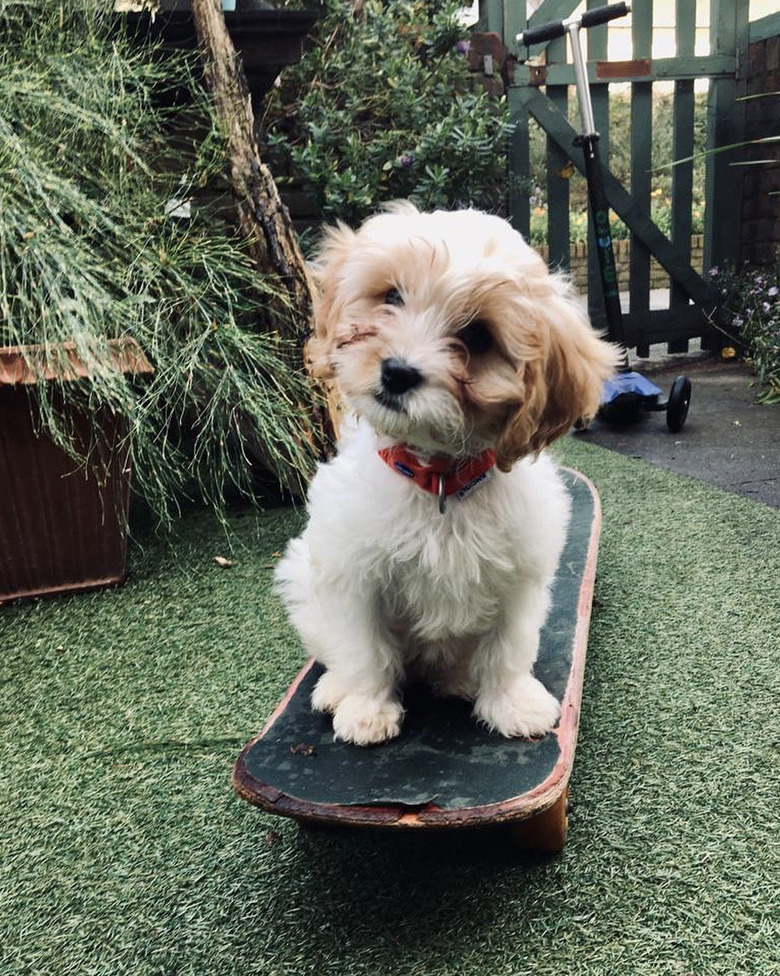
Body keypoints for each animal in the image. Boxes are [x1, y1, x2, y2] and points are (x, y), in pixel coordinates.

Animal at [276, 202, 620, 744]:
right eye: (391, 297)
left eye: (478, 336)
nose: (397, 372)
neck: (437, 475)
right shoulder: (352, 572)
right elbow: (363, 646)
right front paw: (367, 709)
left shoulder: (520, 574)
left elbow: (509, 646)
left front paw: (512, 703)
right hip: (303, 578)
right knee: (333, 647)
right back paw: (336, 688)